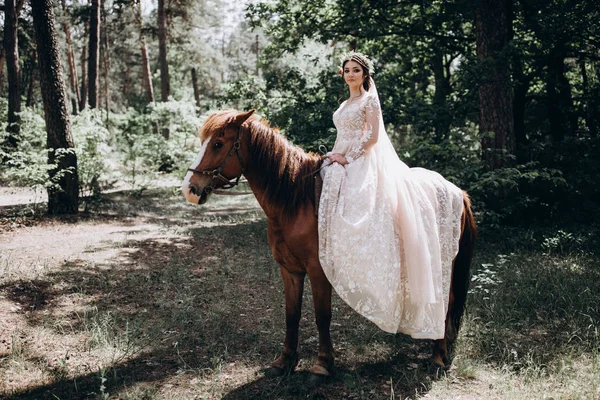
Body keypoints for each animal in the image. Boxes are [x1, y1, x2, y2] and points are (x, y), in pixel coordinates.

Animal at [183, 108, 478, 382]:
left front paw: (323, 365)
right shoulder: (289, 270)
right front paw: (285, 361)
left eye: (218, 143)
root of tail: (456, 190)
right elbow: (292, 314)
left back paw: (438, 357)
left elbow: (322, 316)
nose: (190, 188)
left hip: (445, 265)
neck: (296, 199)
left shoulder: (318, 270)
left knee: (447, 303)